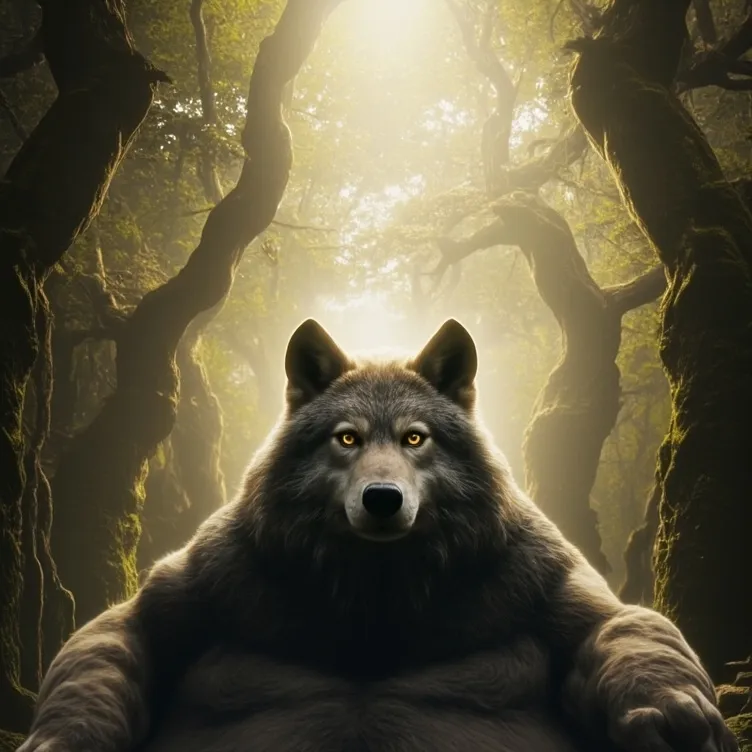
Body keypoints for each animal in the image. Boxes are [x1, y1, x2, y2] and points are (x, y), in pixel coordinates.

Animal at [20, 319, 737, 752]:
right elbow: (109, 642)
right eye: (348, 439)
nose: (383, 499)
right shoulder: (193, 584)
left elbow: (625, 628)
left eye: (415, 438)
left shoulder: (550, 579)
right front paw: (61, 736)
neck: (375, 599)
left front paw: (674, 715)